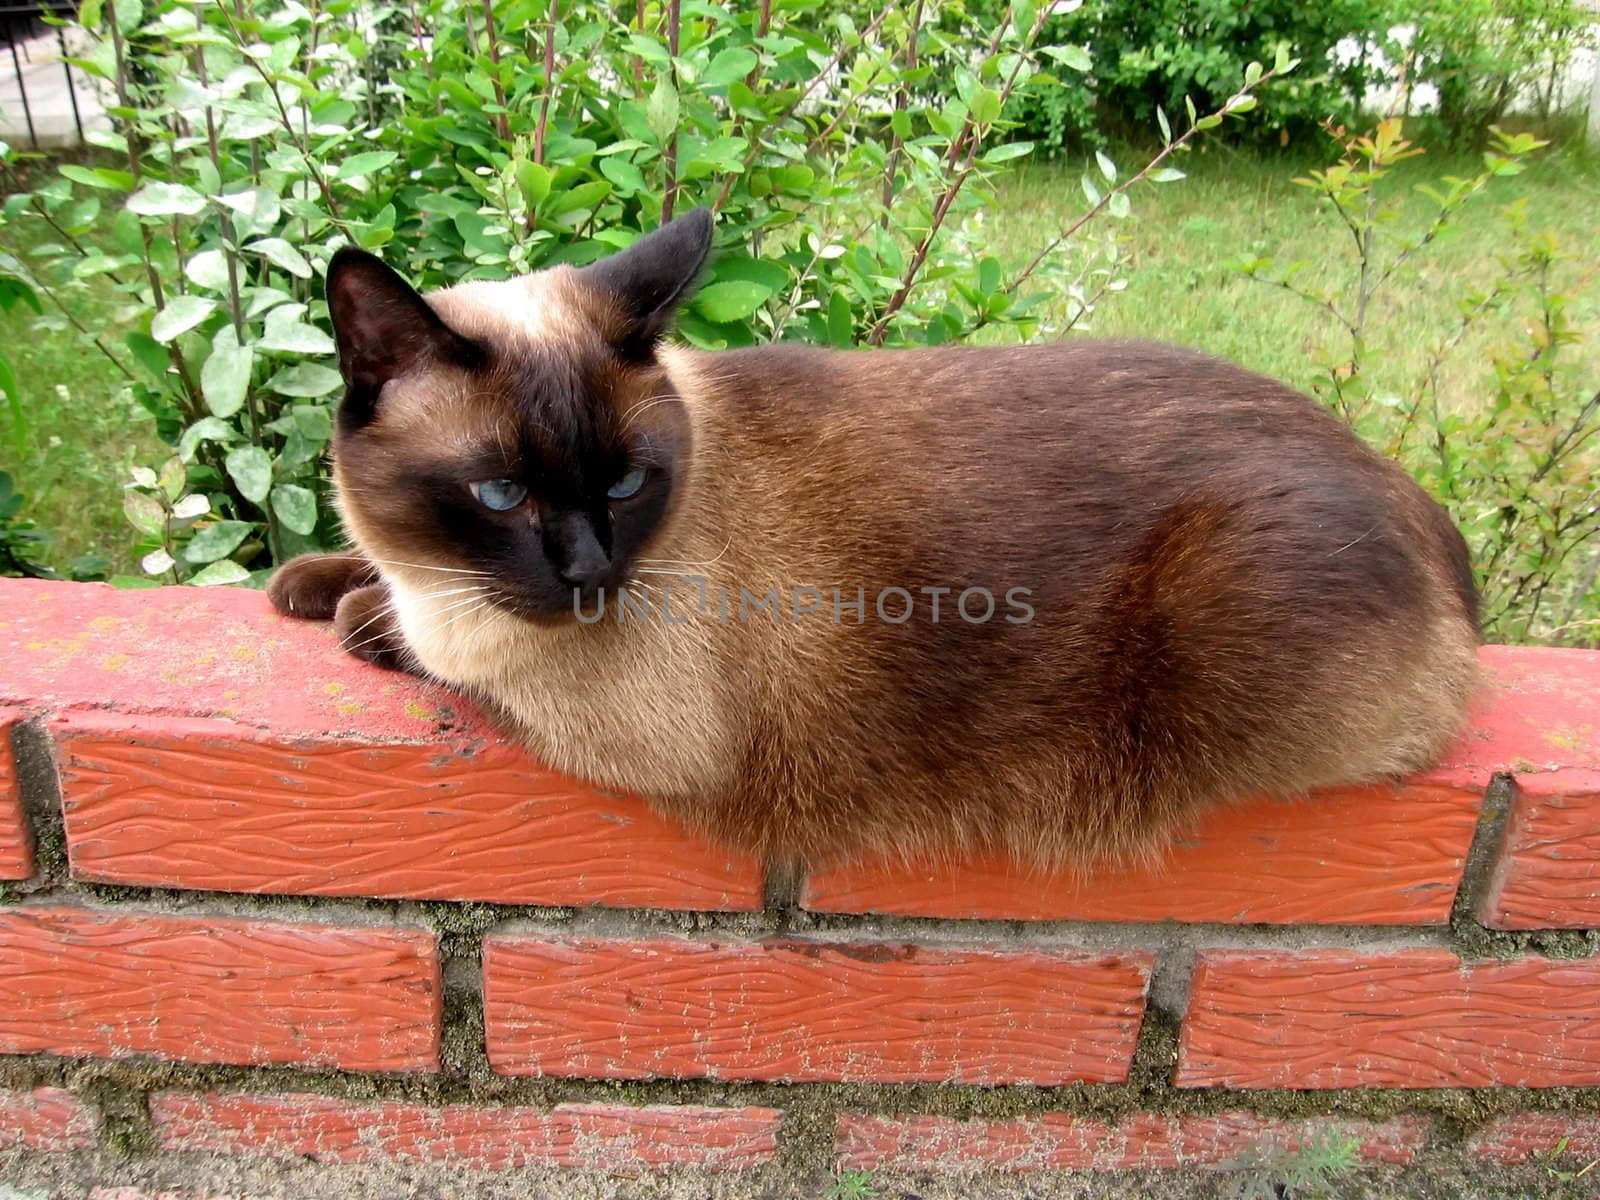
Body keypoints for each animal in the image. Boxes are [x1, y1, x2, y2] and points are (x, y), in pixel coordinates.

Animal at [268, 204, 1478, 864]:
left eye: (626, 483)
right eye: (500, 497)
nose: (590, 573)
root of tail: (1422, 505)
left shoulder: (592, 712)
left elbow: (407, 637)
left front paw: (345, 607)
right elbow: (356, 574)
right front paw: (305, 577)